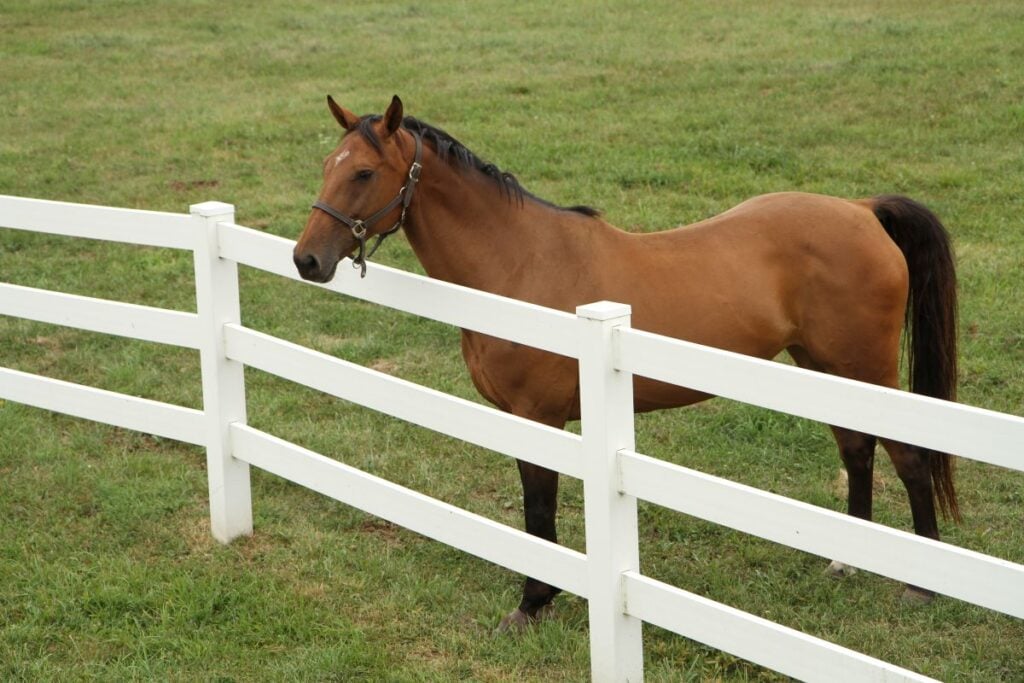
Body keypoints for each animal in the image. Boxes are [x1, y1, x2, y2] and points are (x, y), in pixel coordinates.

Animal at [293, 95, 959, 632]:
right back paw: (847, 562)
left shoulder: (540, 417)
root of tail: (862, 209)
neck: (520, 263)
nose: (306, 260)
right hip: (826, 369)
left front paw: (532, 604)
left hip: (868, 370)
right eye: (327, 165)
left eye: (363, 171)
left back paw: (921, 586)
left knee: (908, 458)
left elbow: (539, 511)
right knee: (857, 448)